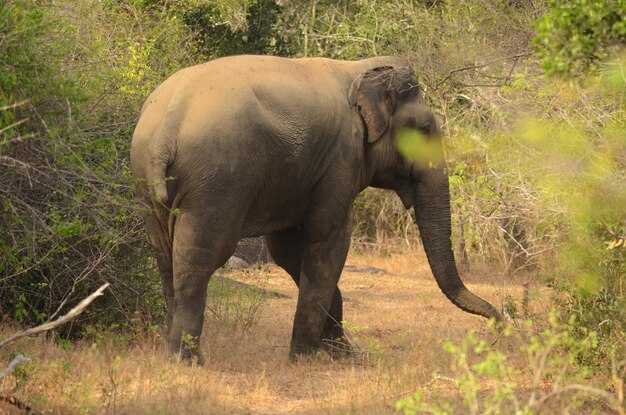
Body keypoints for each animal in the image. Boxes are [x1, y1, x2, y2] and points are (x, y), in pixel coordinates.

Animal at [129, 56, 500, 364]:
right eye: (422, 132)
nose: (499, 323)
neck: (359, 70)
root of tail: (167, 125)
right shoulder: (341, 158)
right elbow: (328, 238)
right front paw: (307, 359)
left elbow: (288, 250)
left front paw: (343, 356)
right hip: (215, 183)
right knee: (199, 260)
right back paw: (188, 360)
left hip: (146, 184)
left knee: (165, 257)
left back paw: (168, 354)